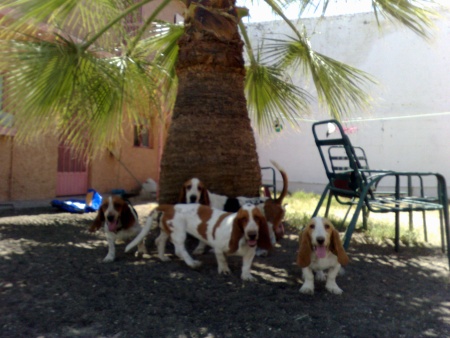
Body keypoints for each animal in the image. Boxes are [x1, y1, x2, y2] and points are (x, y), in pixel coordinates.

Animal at [125, 203, 270, 280]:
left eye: (257, 218)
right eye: (244, 219)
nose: (252, 235)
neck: (241, 238)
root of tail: (170, 207)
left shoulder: (250, 253)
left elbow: (246, 265)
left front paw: (246, 276)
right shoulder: (218, 248)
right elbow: (222, 260)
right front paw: (224, 270)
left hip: (167, 230)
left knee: (159, 240)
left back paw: (162, 257)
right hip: (179, 233)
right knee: (179, 250)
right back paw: (193, 263)